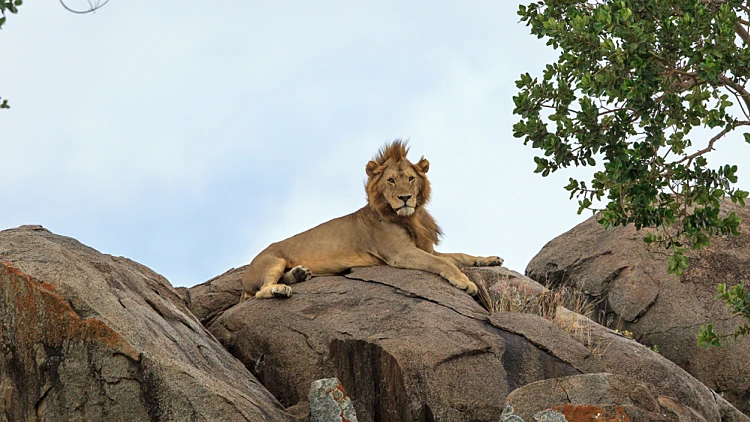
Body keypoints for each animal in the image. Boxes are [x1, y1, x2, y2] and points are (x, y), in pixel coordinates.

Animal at [241, 140, 503, 301]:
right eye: (390, 181)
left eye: (410, 179)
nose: (405, 198)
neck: (411, 217)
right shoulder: (401, 254)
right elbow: (444, 263)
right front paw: (466, 283)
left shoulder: (425, 248)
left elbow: (460, 256)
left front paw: (490, 260)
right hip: (273, 260)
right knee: (260, 291)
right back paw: (279, 289)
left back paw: (299, 274)